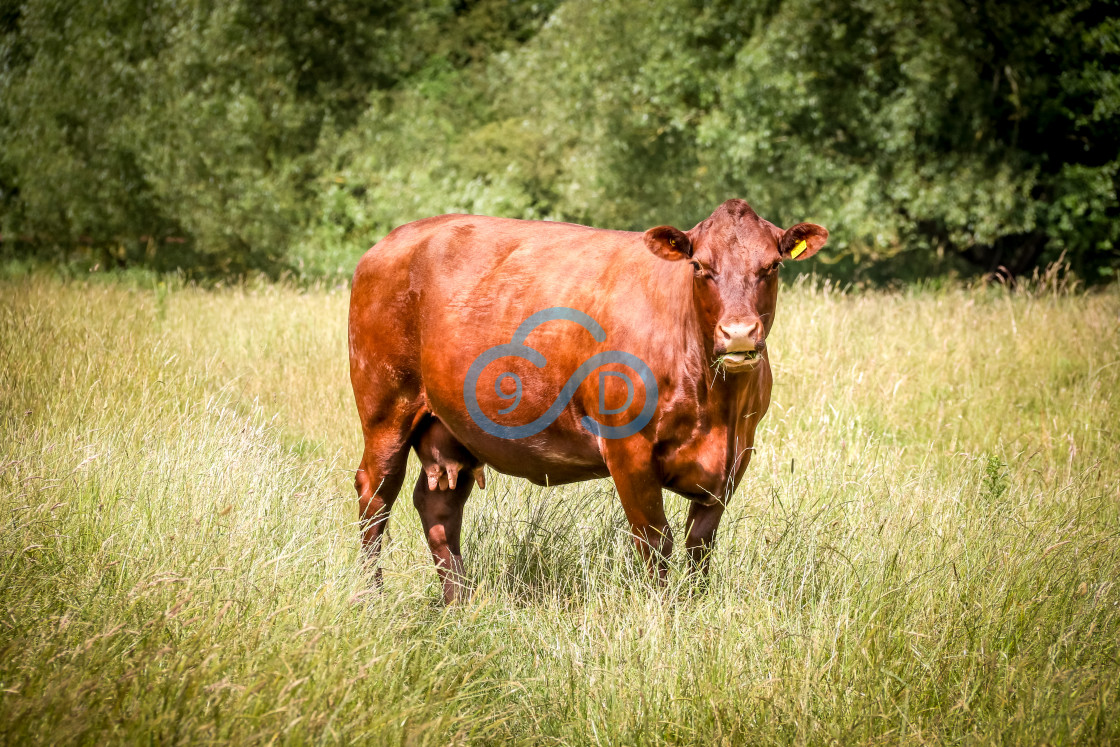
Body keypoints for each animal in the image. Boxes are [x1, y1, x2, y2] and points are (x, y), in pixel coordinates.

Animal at [349, 198, 833, 600]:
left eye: (772, 266)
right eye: (699, 266)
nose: (738, 334)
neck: (717, 404)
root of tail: (394, 239)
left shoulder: (736, 453)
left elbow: (699, 545)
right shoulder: (628, 450)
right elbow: (655, 542)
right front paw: (666, 616)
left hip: (452, 428)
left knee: (439, 507)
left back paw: (459, 602)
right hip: (386, 408)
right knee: (376, 496)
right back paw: (372, 597)